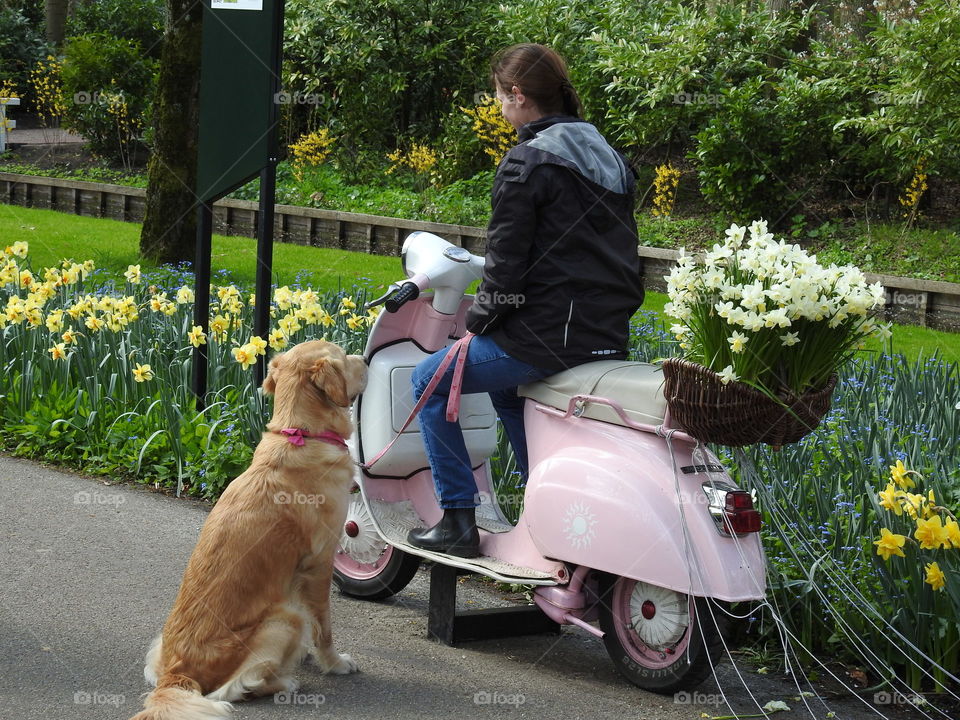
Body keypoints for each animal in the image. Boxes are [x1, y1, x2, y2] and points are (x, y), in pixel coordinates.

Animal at [128, 338, 368, 720]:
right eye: (344, 357)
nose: (366, 357)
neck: (302, 434)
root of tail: (176, 675)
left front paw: (307, 656)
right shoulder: (320, 563)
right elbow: (323, 627)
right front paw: (334, 663)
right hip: (283, 619)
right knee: (237, 688)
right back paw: (285, 682)